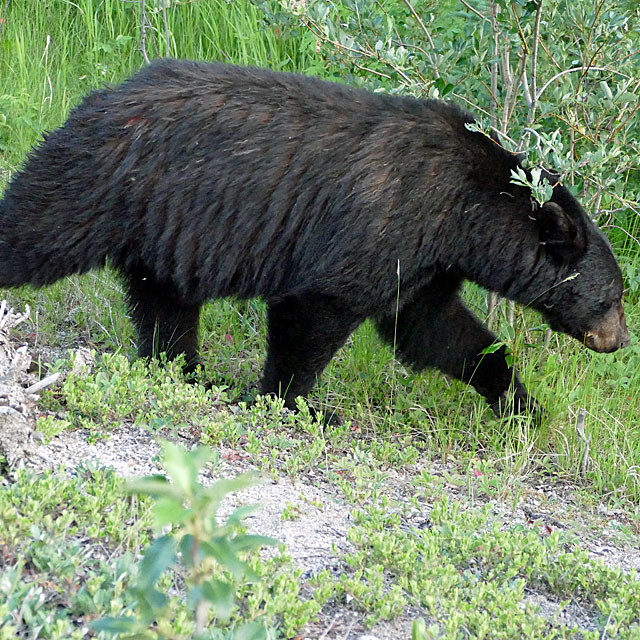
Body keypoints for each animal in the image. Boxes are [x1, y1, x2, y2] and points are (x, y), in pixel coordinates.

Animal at [0, 58, 632, 416]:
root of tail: (96, 99)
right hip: (97, 185)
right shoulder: (386, 219)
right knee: (35, 229)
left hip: (165, 228)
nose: (619, 341)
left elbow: (433, 330)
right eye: (611, 297)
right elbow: (318, 305)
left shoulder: (425, 260)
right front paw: (291, 401)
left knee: (165, 301)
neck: (465, 211)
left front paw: (521, 405)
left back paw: (187, 371)